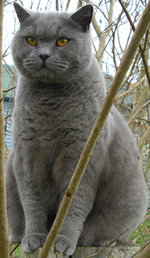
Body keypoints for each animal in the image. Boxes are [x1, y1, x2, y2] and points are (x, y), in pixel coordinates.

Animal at [6, 3, 148, 256]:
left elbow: (75, 203)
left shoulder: (82, 157)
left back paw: (101, 241)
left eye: (62, 41)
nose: (44, 55)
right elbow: (31, 200)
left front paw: (62, 241)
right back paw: (18, 234)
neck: (51, 102)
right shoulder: (25, 155)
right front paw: (33, 238)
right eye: (31, 40)